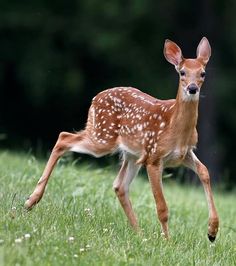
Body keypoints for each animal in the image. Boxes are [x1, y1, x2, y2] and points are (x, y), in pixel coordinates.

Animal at [24, 36, 218, 242]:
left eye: (203, 73)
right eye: (182, 72)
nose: (192, 88)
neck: (175, 127)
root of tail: (95, 98)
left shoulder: (184, 153)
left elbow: (205, 172)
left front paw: (212, 231)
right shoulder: (153, 156)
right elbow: (162, 207)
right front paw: (168, 241)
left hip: (130, 154)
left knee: (120, 186)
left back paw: (139, 234)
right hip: (103, 137)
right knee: (64, 137)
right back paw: (31, 201)